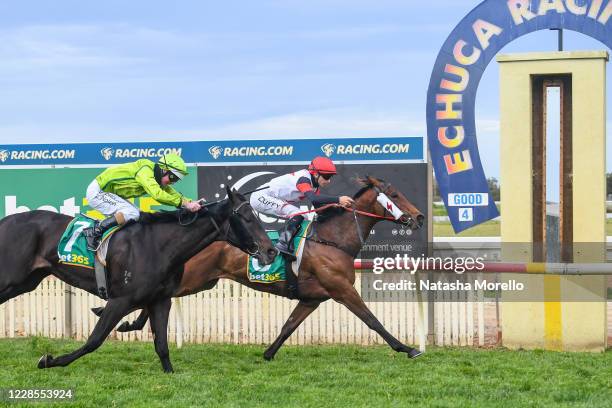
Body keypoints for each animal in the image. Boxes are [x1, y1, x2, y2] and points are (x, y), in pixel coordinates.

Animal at [0, 189, 274, 372]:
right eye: (247, 218)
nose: (271, 251)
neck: (158, 246)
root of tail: (5, 221)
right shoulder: (120, 300)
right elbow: (94, 340)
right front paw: (50, 360)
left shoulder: (161, 300)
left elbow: (161, 343)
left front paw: (169, 372)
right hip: (11, 279)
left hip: (26, 281)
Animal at [95, 176, 426, 360]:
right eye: (394, 195)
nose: (420, 217)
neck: (332, 240)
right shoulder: (341, 289)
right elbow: (373, 320)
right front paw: (407, 348)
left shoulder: (313, 298)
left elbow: (289, 326)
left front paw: (267, 353)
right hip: (194, 278)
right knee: (153, 297)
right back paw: (123, 319)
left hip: (202, 282)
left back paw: (125, 322)